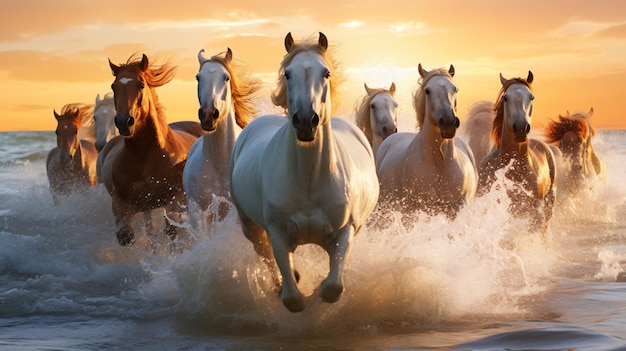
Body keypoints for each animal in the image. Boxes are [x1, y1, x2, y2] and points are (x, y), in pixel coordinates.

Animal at [97, 55, 202, 248]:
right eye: (114, 86)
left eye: (141, 85)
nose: (124, 122)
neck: (146, 154)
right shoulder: (121, 202)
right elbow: (126, 236)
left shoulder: (175, 199)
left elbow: (172, 231)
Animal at [228, 32, 376, 314]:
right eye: (287, 73)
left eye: (326, 73)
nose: (306, 121)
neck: (309, 181)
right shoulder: (277, 234)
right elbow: (293, 299)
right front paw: (296, 288)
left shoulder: (345, 231)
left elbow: (333, 286)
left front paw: (320, 290)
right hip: (249, 225)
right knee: (264, 253)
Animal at [372, 64, 476, 219]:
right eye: (427, 90)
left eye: (455, 89)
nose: (448, 123)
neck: (440, 163)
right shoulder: (414, 211)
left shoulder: (455, 209)